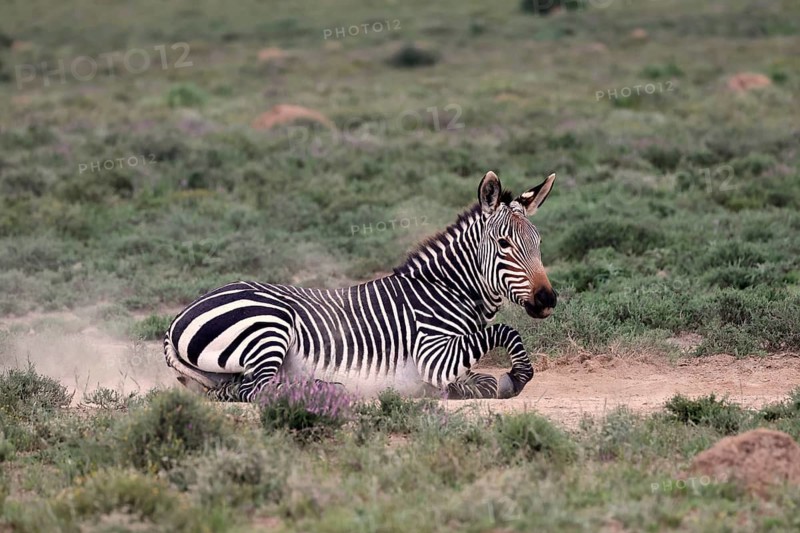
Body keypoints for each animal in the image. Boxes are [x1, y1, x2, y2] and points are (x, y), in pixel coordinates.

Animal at [164, 171, 557, 401]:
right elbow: (505, 333)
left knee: (237, 389)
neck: (448, 289)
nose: (548, 298)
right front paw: (515, 378)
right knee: (254, 390)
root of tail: (175, 321)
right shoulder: (432, 355)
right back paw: (329, 393)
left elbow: (482, 373)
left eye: (538, 242)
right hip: (269, 326)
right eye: (504, 244)